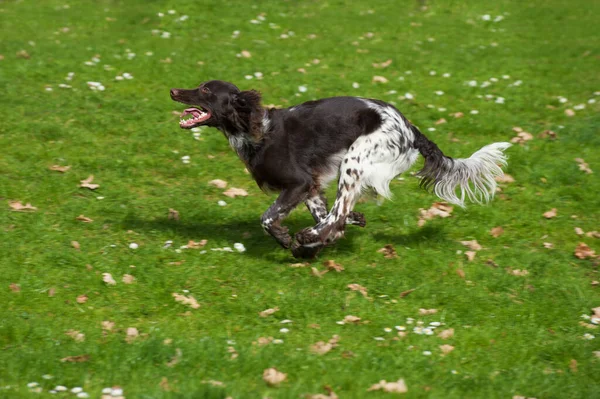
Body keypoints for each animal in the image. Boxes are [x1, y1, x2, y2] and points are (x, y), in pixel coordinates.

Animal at [170, 80, 510, 260]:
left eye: (205, 90)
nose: (174, 91)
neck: (255, 130)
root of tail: (411, 130)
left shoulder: (298, 182)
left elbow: (269, 218)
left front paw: (287, 239)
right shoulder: (310, 186)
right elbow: (326, 214)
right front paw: (317, 241)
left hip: (354, 160)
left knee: (338, 212)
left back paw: (307, 239)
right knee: (338, 215)